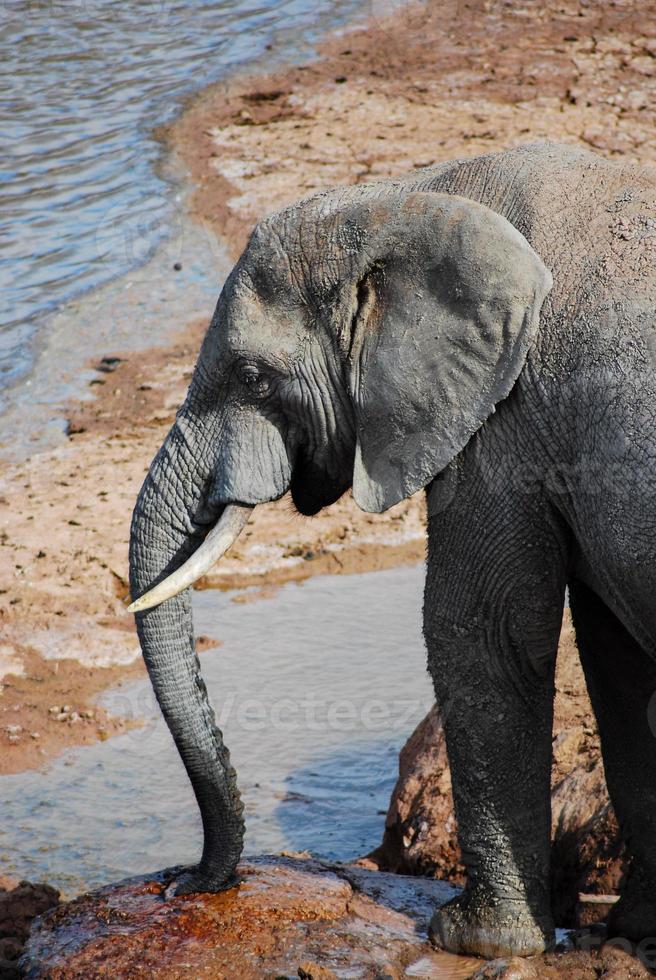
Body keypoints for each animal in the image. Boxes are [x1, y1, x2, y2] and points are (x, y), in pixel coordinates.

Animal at [127, 142, 656, 960]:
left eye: (251, 376)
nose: (183, 884)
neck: (404, 199)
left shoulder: (505, 419)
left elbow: (483, 633)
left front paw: (473, 938)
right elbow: (614, 658)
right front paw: (632, 931)